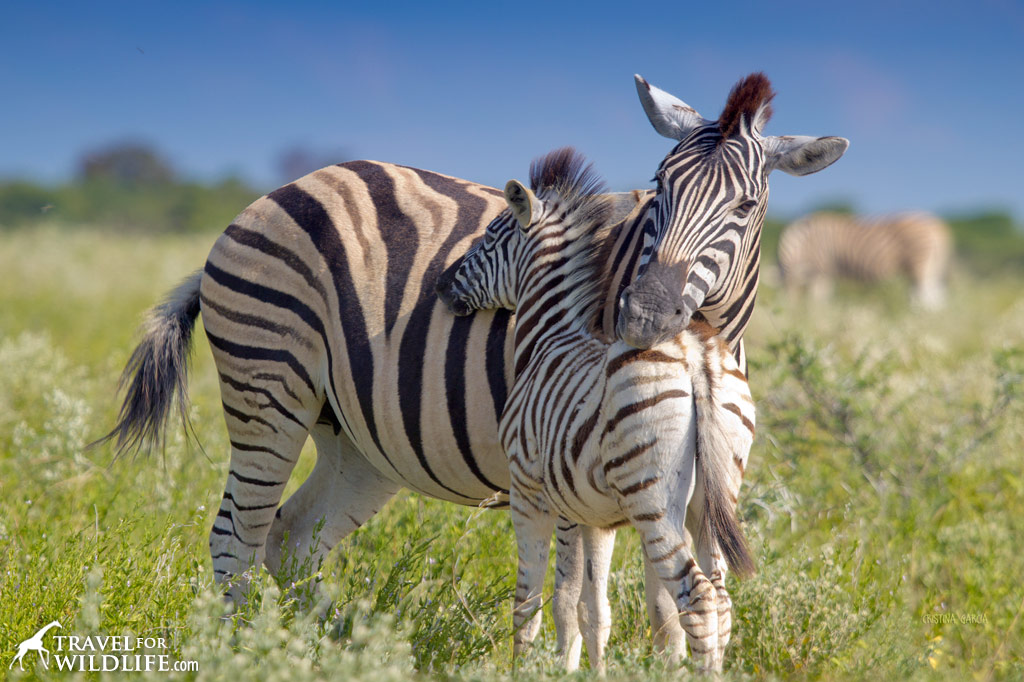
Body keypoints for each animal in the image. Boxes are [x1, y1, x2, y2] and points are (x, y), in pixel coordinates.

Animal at [436, 146, 757, 671]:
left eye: (488, 237)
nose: (441, 286)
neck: (547, 337)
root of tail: (696, 356)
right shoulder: (596, 518)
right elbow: (592, 608)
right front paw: (587, 671)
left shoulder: (532, 493)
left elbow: (537, 602)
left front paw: (532, 669)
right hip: (715, 494)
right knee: (722, 599)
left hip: (653, 499)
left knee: (697, 596)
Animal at [774, 208, 950, 307]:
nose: (791, 315)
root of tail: (934, 224)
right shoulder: (823, 273)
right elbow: (820, 300)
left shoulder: (822, 270)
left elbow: (818, 300)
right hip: (931, 267)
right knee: (935, 298)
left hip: (919, 266)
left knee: (925, 298)